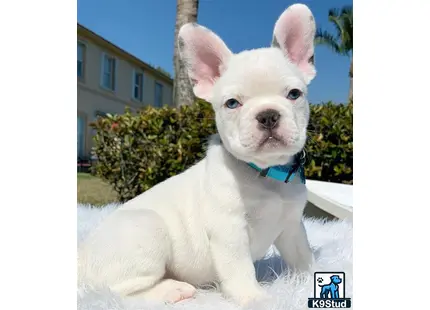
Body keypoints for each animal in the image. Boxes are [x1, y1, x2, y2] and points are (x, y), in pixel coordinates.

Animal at [78, 3, 316, 308]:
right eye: (232, 103)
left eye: (294, 94)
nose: (268, 115)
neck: (263, 173)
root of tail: (82, 257)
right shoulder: (229, 231)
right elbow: (240, 270)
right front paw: (254, 298)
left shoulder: (292, 227)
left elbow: (303, 258)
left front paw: (312, 279)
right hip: (147, 231)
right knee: (116, 291)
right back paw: (172, 290)